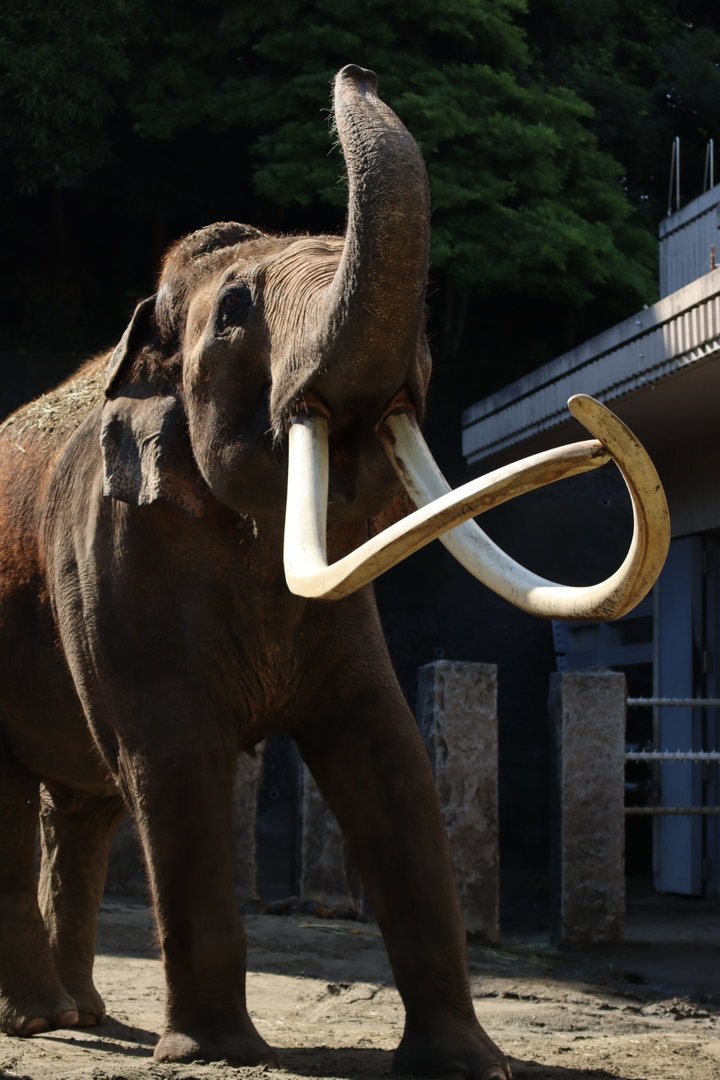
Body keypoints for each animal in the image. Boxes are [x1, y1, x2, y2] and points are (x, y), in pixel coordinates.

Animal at [0, 65, 669, 1078]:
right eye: (235, 312)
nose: (355, 72)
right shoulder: (110, 556)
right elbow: (173, 757)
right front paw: (215, 1054)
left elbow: (390, 753)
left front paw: (468, 1063)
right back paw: (41, 1022)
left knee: (80, 807)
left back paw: (81, 1015)